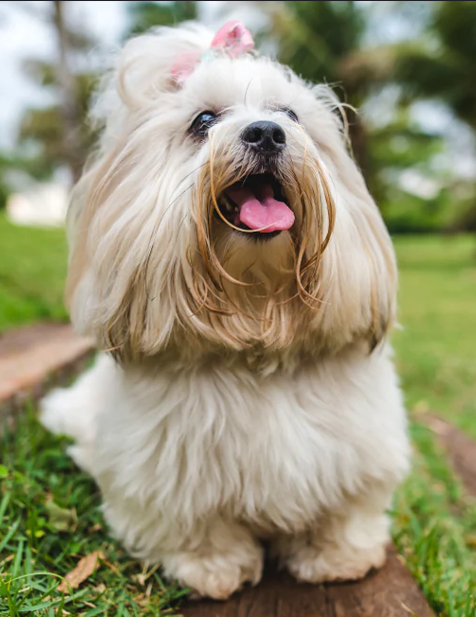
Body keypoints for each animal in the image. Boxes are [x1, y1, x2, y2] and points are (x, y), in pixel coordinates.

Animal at [41, 21, 410, 600]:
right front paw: (213, 569)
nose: (266, 133)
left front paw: (338, 557)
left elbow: (343, 511)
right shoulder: (168, 475)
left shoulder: (356, 453)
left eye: (290, 116)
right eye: (204, 121)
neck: (257, 321)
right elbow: (195, 526)